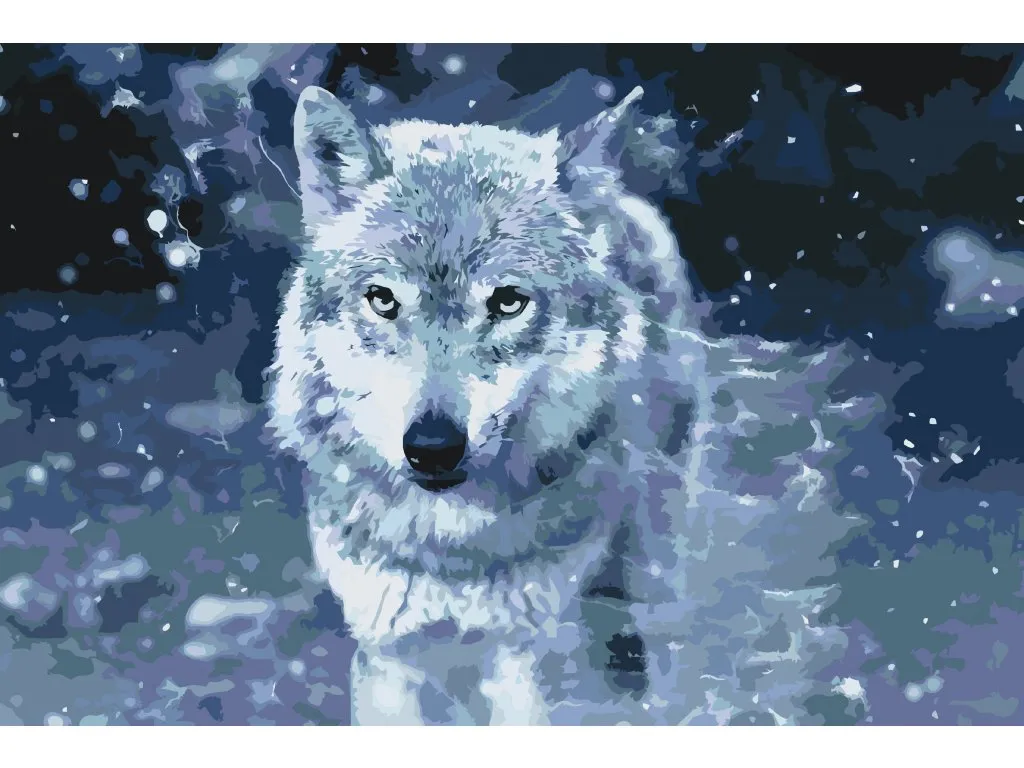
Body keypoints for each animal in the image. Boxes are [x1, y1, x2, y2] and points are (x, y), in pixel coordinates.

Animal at [267, 84, 866, 725]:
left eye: (507, 302)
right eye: (382, 300)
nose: (432, 447)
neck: (453, 549)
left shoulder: (528, 658)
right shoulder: (389, 655)